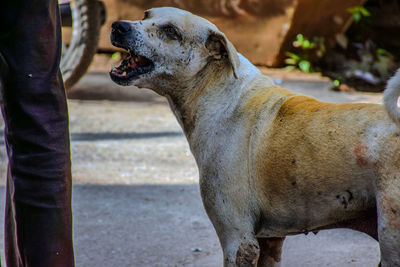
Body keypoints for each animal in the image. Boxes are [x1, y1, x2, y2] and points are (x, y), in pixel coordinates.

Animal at [109, 6, 400, 267]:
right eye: (146, 15)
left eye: (171, 31)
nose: (118, 26)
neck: (219, 93)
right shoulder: (270, 242)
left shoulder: (238, 241)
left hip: (391, 239)